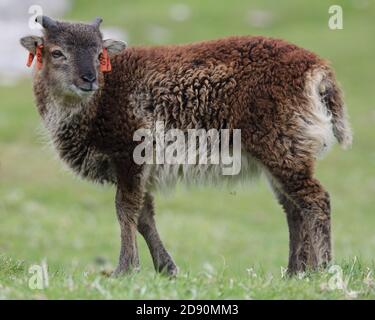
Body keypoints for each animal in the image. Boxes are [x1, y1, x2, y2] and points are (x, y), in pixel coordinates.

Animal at [19, 16, 352, 276]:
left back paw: (324, 269)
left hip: (283, 150)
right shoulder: (138, 170)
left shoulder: (130, 155)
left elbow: (125, 209)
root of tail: (318, 71)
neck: (100, 99)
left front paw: (124, 269)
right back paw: (296, 272)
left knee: (315, 199)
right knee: (293, 207)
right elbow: (144, 215)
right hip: (281, 155)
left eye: (101, 53)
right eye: (57, 52)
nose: (89, 79)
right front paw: (167, 269)